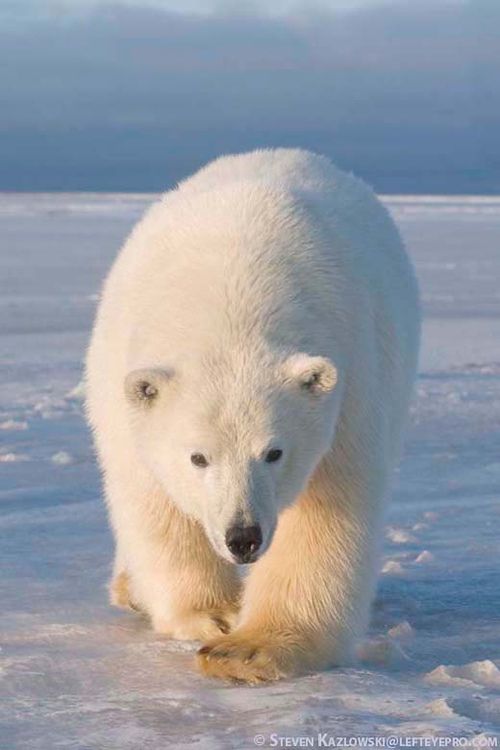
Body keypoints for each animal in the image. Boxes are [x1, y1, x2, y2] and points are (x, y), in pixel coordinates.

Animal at [85, 148, 420, 683]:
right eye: (198, 457)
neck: (234, 296)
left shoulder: (351, 385)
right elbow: (153, 502)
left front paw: (246, 650)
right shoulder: (126, 382)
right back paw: (130, 590)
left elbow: (326, 515)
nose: (243, 537)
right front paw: (214, 614)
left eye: (274, 452)